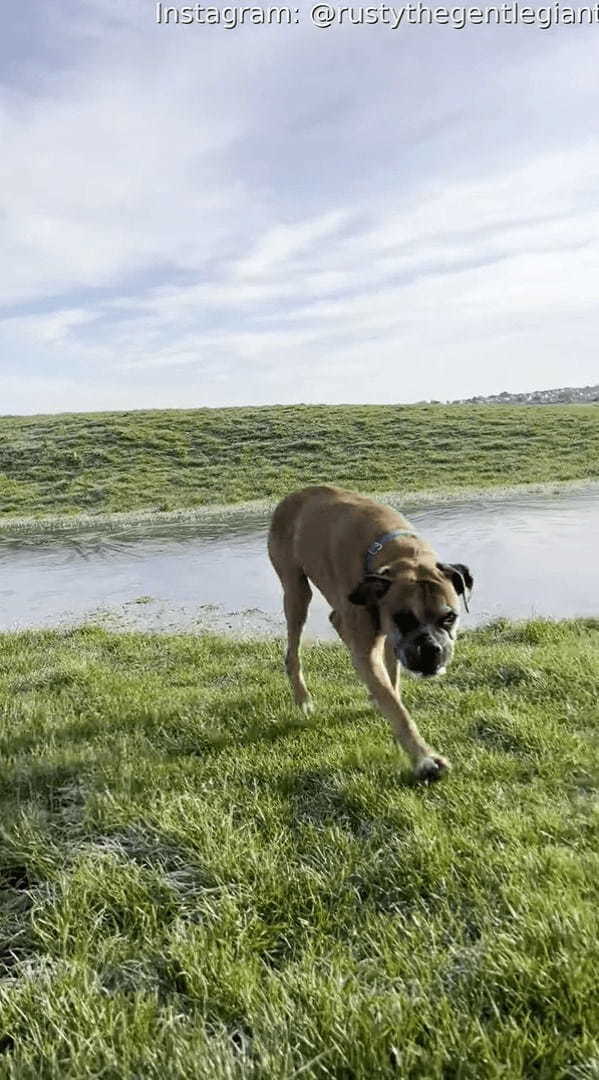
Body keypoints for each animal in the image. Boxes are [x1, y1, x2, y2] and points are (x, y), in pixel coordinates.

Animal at [268, 486, 472, 781]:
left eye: (449, 617)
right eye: (403, 619)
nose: (431, 649)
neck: (395, 554)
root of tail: (292, 496)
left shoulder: (389, 639)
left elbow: (391, 684)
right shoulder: (377, 641)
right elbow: (395, 706)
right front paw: (424, 758)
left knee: (337, 622)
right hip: (296, 593)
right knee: (293, 652)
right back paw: (303, 698)